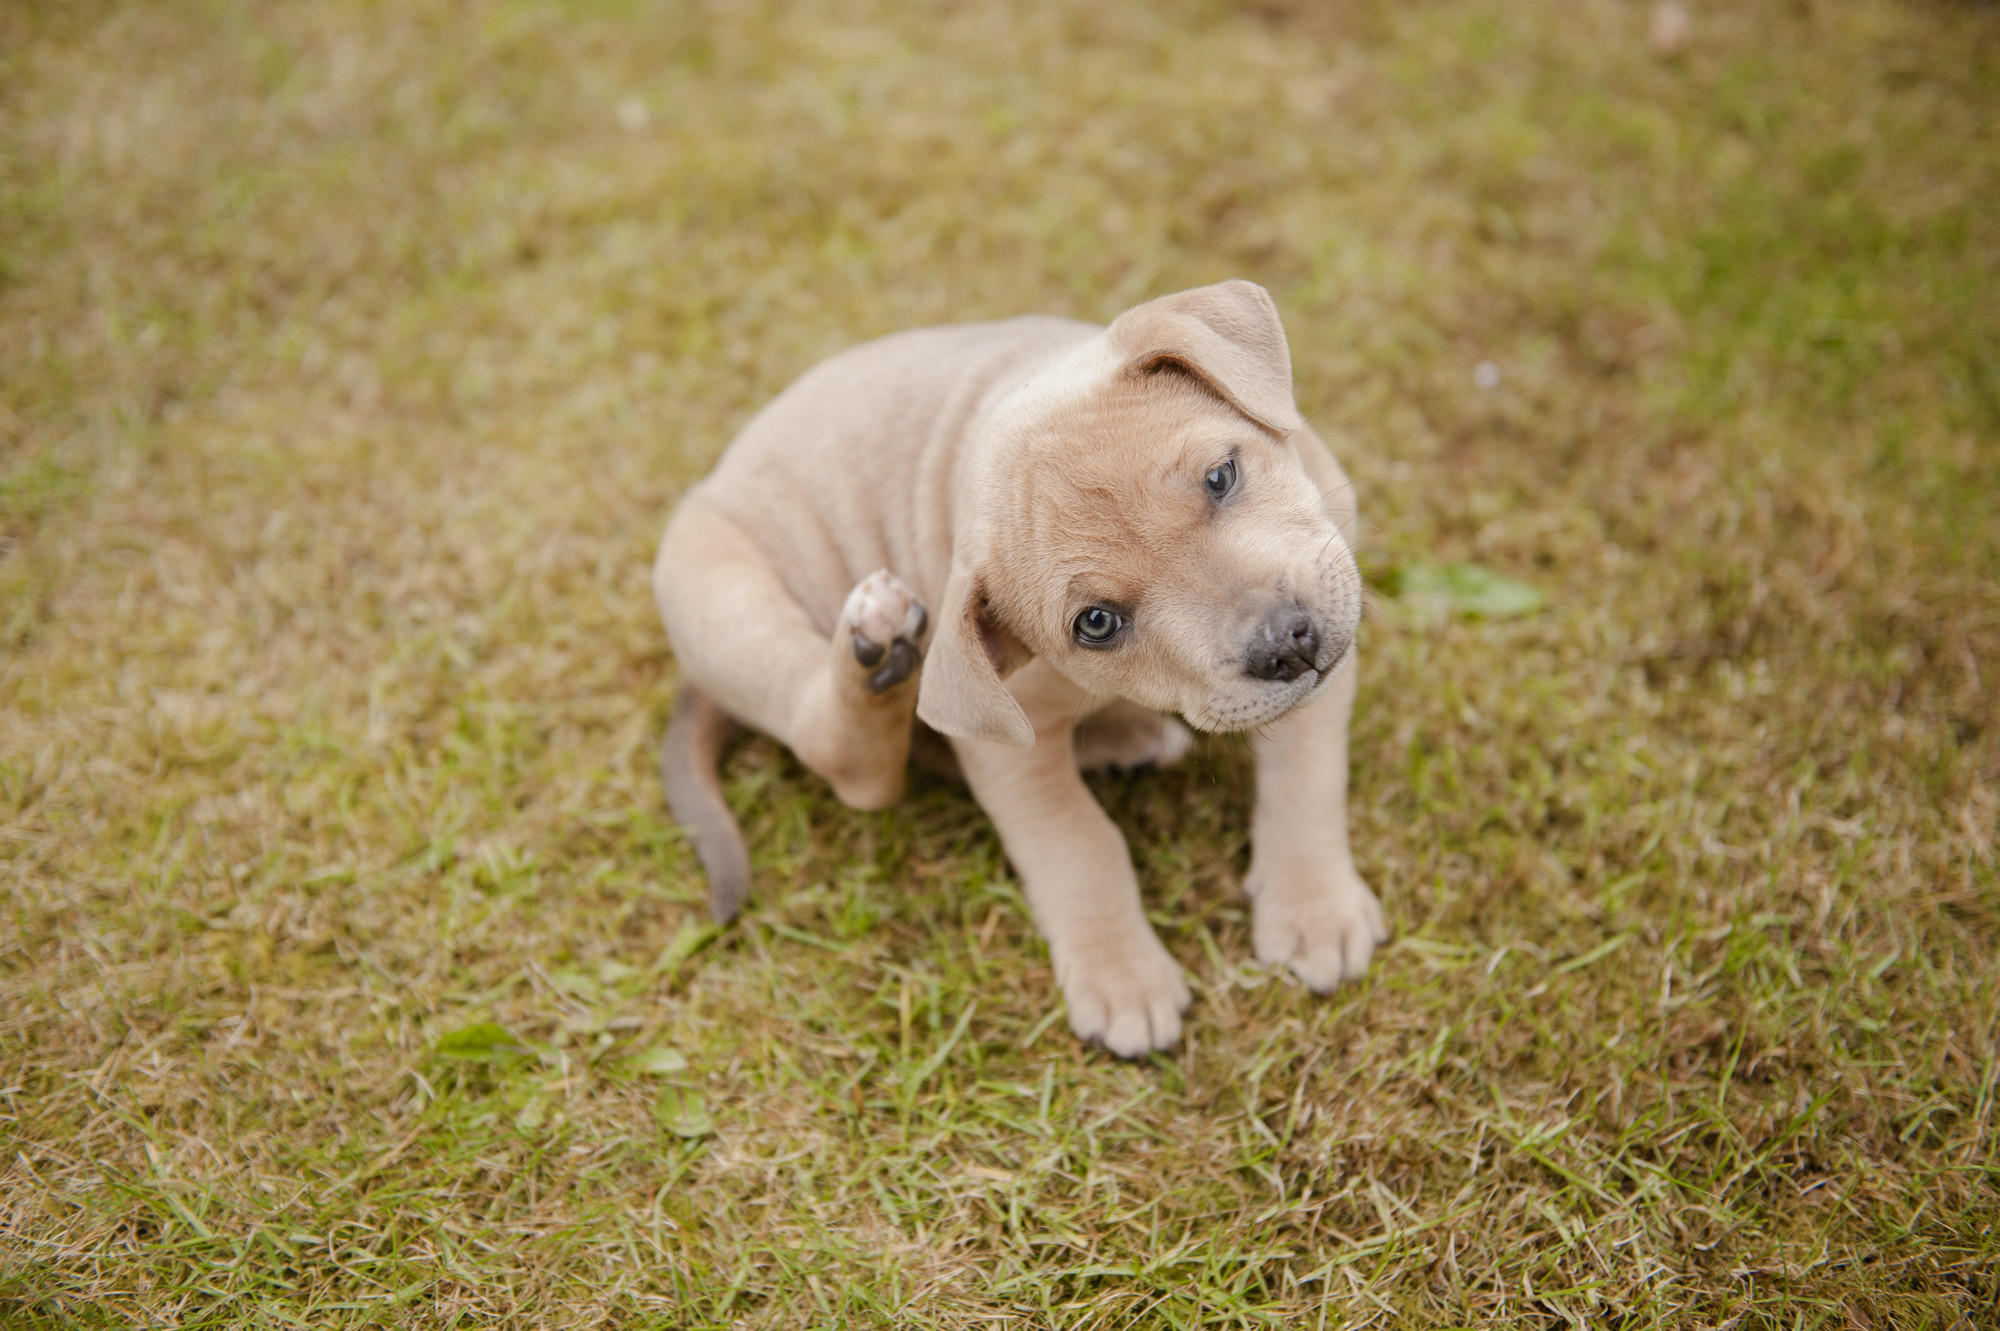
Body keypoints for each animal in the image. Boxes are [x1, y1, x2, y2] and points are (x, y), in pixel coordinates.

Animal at [656, 281, 1392, 1055]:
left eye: (1221, 475)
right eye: (1096, 623)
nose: (1286, 645)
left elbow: (1305, 778)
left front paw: (1314, 907)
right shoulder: (1007, 750)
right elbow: (1077, 843)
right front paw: (1121, 974)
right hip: (730, 602)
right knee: (851, 763)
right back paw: (876, 653)